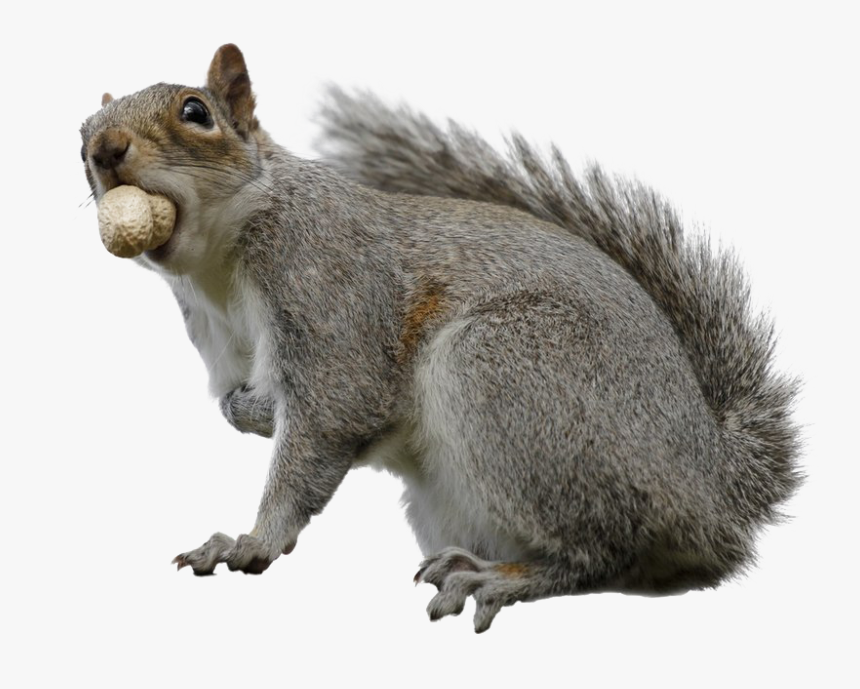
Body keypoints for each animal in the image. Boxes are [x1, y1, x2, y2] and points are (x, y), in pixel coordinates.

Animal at [80, 44, 802, 632]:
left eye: (195, 111)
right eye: (79, 133)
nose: (104, 149)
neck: (215, 267)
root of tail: (710, 478)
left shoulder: (325, 277)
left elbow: (333, 415)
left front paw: (251, 540)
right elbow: (255, 407)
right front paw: (248, 411)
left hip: (504, 373)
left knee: (606, 552)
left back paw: (503, 577)